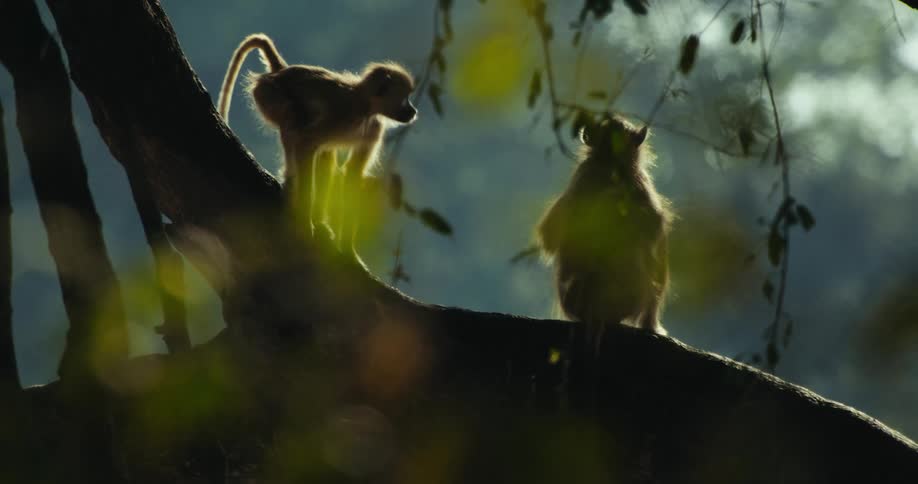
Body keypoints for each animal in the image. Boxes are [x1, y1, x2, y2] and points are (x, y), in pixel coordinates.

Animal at [217, 33, 417, 246]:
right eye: (405, 98)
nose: (413, 111)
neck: (364, 108)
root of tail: (280, 71)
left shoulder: (374, 129)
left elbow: (352, 173)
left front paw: (348, 248)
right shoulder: (341, 115)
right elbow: (306, 143)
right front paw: (306, 219)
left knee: (325, 154)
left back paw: (320, 220)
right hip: (268, 94)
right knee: (294, 123)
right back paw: (292, 190)